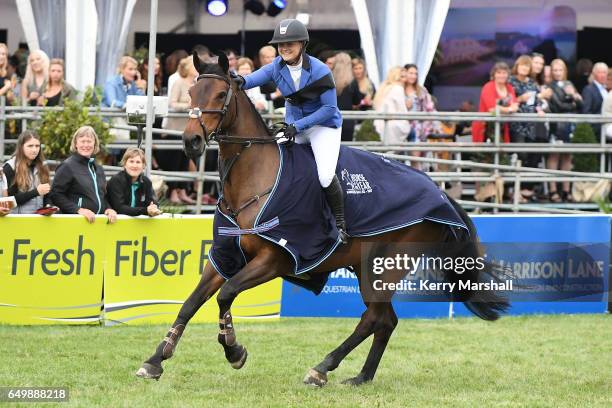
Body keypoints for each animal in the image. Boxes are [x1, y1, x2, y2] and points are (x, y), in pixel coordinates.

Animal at [136, 53, 510, 386]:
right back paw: (361, 377)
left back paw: (322, 368)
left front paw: (234, 350)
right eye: (191, 94)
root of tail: (439, 192)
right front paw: (155, 360)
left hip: (380, 269)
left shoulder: (273, 259)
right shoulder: (225, 256)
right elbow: (191, 303)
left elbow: (225, 295)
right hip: (370, 270)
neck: (254, 177)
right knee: (385, 320)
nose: (191, 141)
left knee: (374, 318)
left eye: (219, 94)